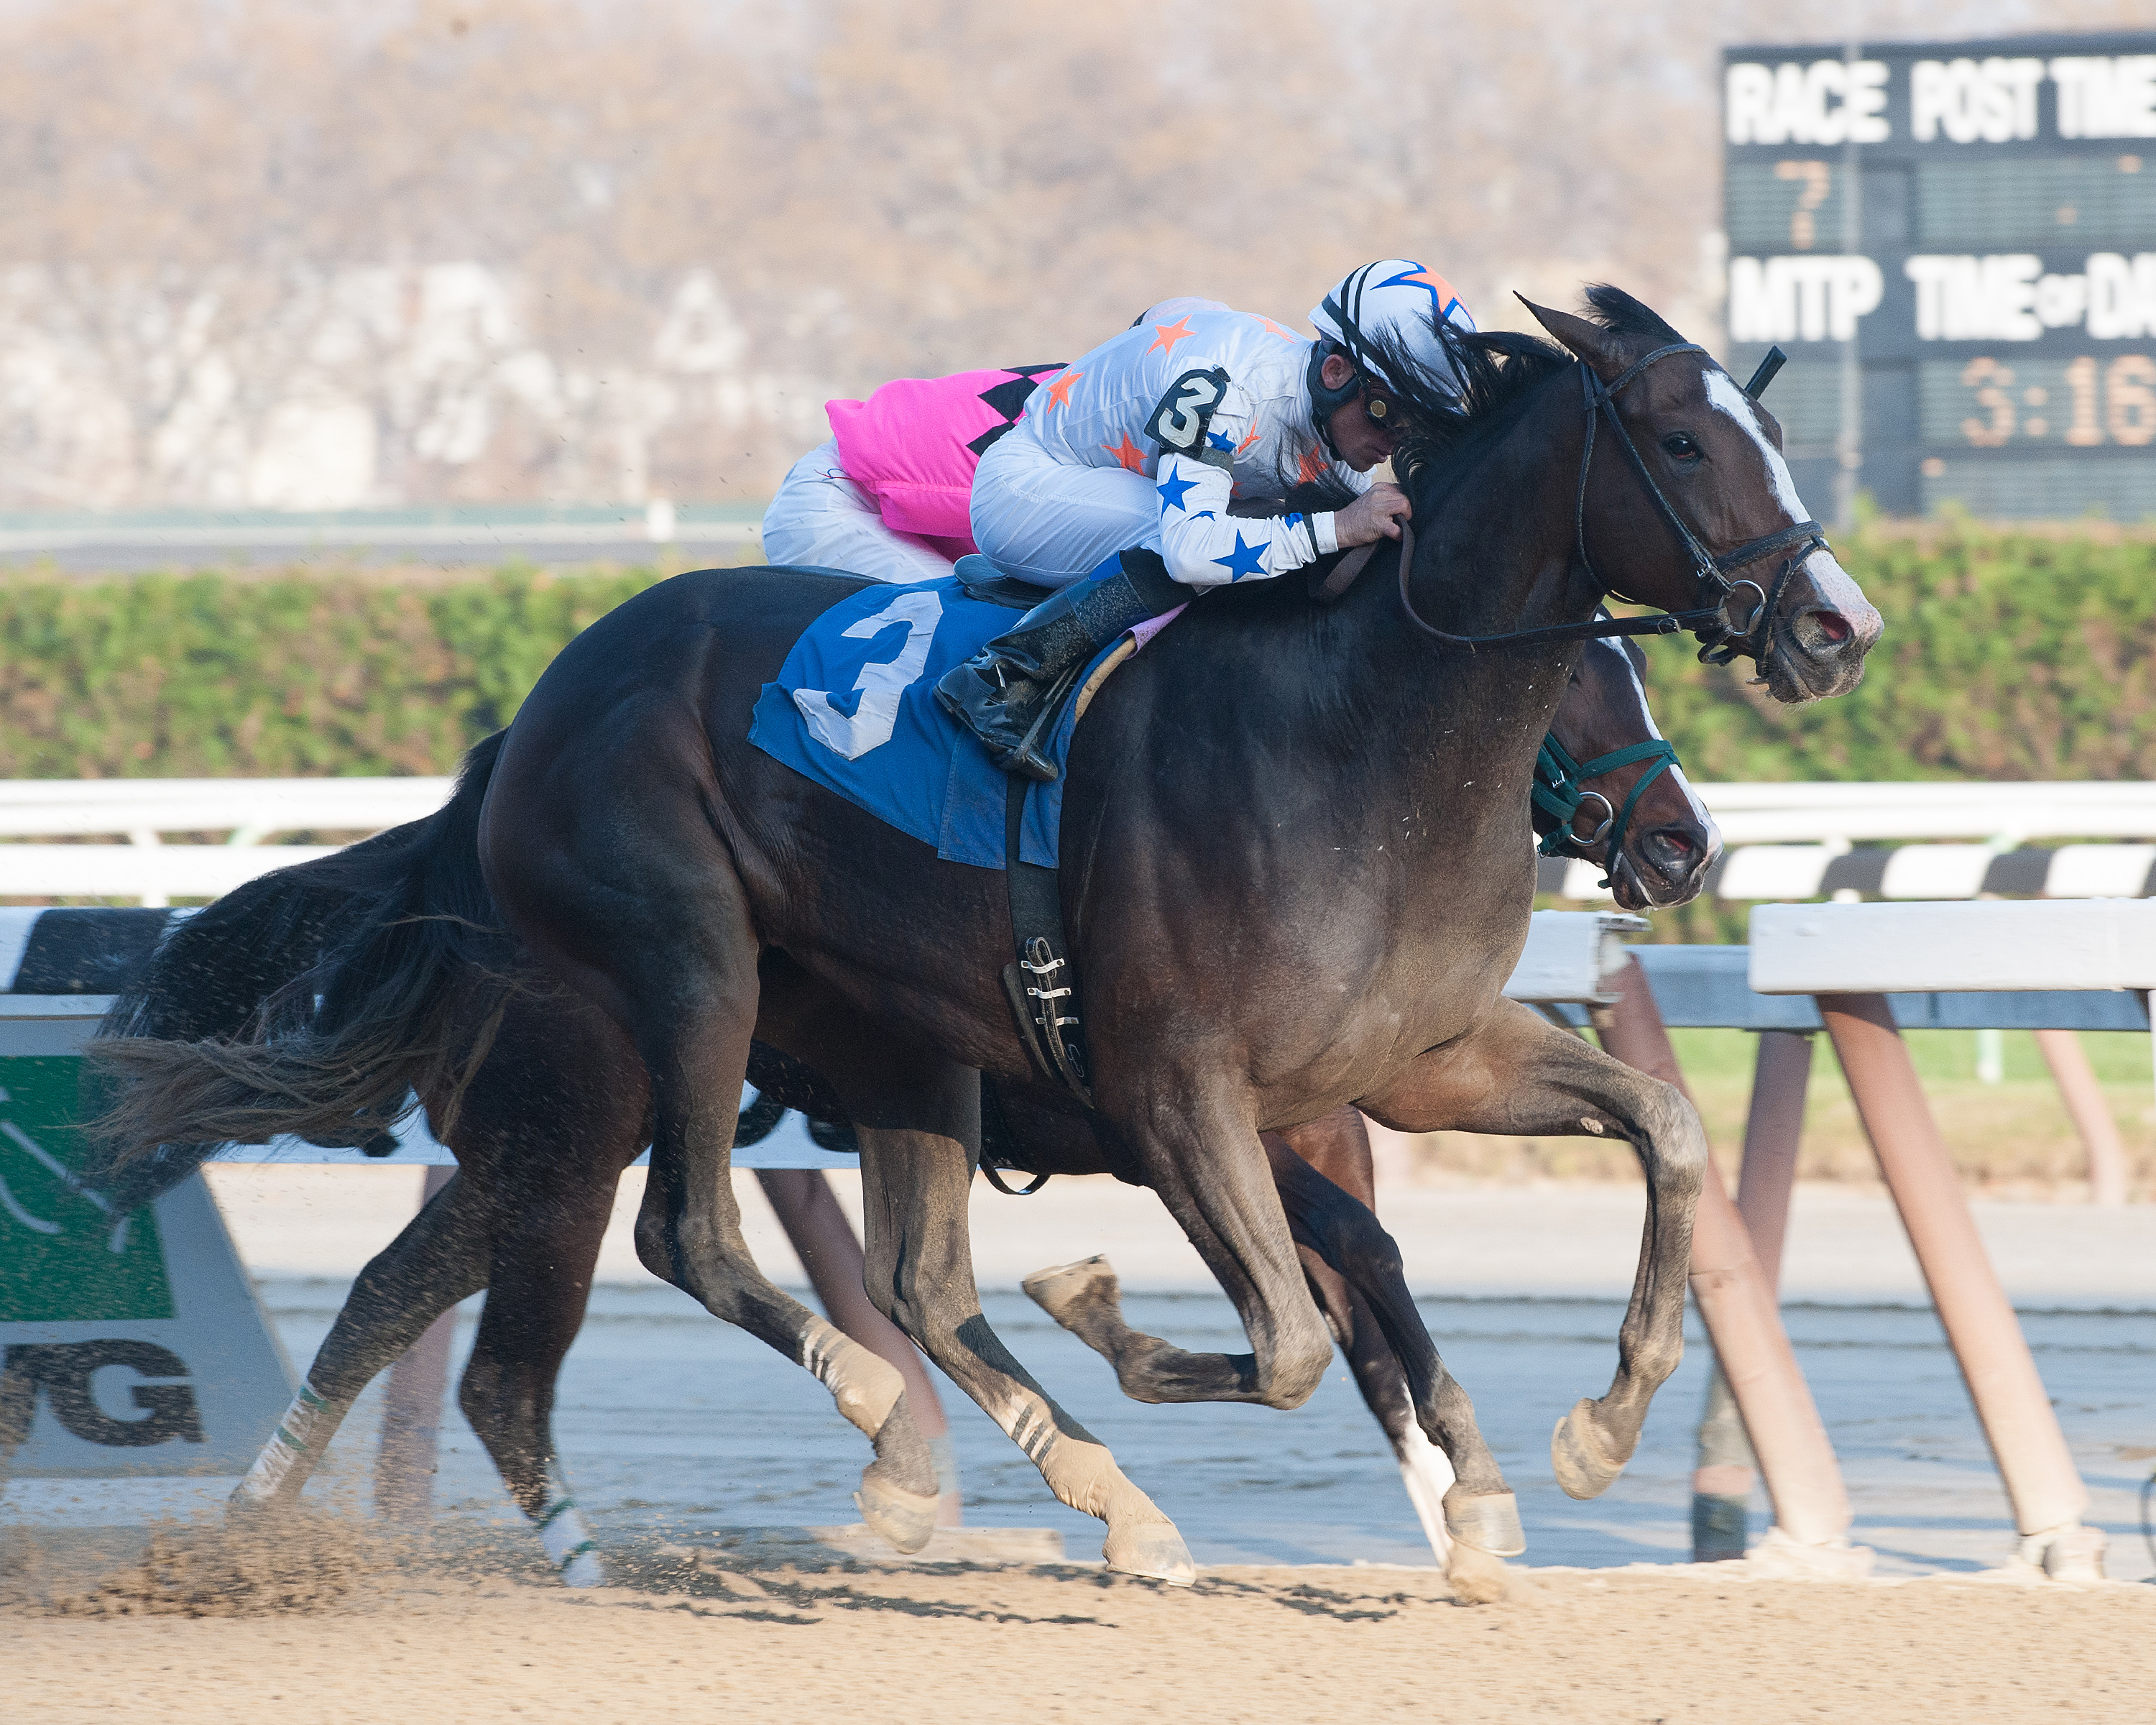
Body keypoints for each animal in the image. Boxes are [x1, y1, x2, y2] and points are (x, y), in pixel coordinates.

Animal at [90, 287, 1878, 1595]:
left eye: (1774, 433)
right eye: (1680, 439)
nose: (1836, 628)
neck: (1356, 741)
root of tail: (511, 739)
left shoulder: (1417, 1062)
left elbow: (1652, 1136)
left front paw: (1572, 1446)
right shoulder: (1173, 1096)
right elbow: (1303, 1324)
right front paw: (1114, 1310)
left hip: (851, 1056)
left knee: (838, 1284)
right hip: (666, 998)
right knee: (668, 1251)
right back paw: (861, 1434)